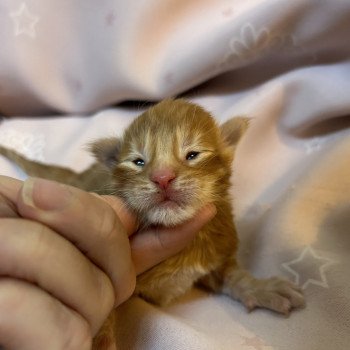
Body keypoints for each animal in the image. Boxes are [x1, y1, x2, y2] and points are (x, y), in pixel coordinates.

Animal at [0, 99, 304, 348]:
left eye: (192, 154)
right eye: (138, 162)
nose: (162, 177)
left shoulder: (216, 250)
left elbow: (233, 275)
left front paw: (261, 288)